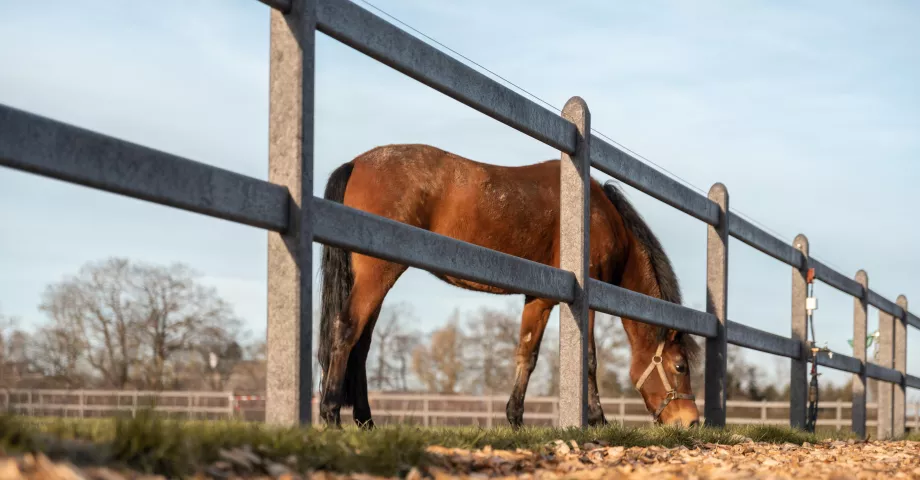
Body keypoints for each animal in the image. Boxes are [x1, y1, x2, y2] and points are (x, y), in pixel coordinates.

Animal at [318, 143, 701, 429]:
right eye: (680, 367)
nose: (690, 420)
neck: (598, 216)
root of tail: (356, 163)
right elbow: (589, 359)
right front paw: (597, 419)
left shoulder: (539, 298)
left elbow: (526, 355)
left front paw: (515, 419)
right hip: (377, 274)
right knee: (346, 329)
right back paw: (331, 413)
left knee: (362, 345)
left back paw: (366, 421)